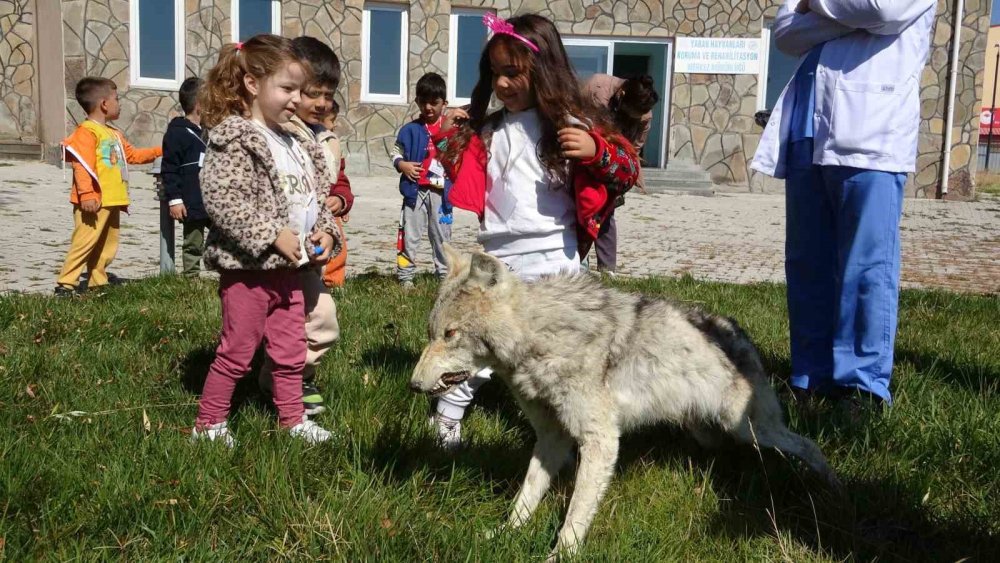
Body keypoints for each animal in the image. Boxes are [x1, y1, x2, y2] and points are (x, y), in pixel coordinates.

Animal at [410, 248, 840, 560]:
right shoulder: (552, 437)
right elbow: (526, 495)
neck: (541, 339)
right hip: (711, 429)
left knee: (809, 445)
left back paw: (830, 488)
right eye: (431, 333)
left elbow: (575, 515)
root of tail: (734, 328)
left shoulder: (600, 439)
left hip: (750, 429)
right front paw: (503, 534)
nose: (413, 385)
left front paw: (558, 556)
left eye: (451, 334)